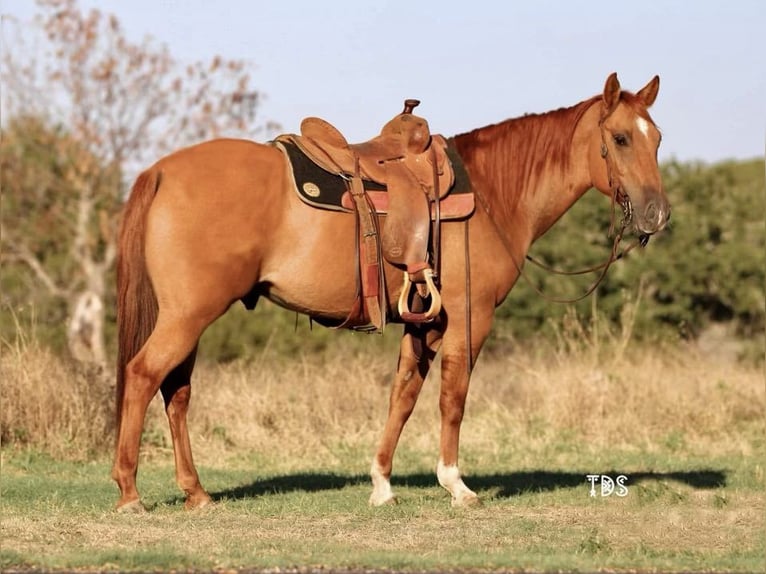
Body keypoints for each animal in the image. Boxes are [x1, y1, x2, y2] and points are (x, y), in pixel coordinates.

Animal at [112, 73, 672, 512]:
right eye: (621, 138)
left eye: (658, 138)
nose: (657, 214)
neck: (491, 193)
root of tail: (161, 171)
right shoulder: (469, 318)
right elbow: (452, 398)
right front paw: (456, 484)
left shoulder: (425, 323)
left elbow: (402, 396)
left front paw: (381, 484)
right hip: (188, 314)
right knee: (143, 376)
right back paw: (130, 491)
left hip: (189, 318)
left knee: (176, 391)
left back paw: (196, 492)